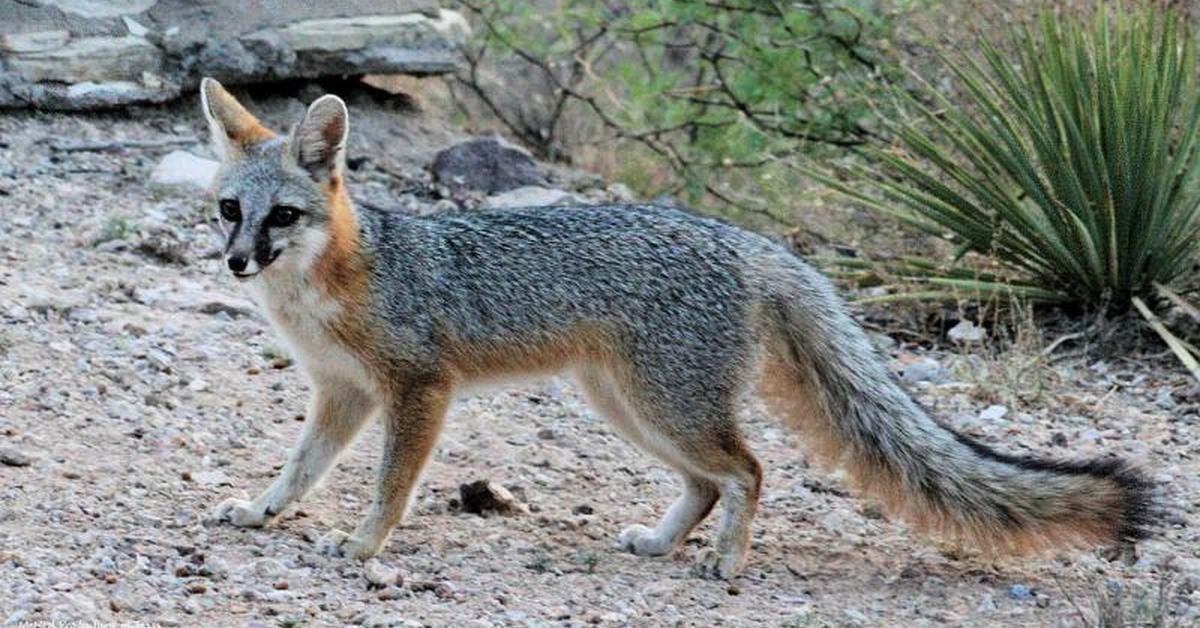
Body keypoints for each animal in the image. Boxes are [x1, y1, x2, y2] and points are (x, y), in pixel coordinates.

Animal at [199, 77, 1152, 581]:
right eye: (229, 211)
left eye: (282, 216)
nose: (238, 264)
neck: (330, 287)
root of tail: (754, 241)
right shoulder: (344, 395)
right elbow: (299, 469)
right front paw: (261, 511)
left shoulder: (418, 391)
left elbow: (388, 486)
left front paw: (364, 545)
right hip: (627, 405)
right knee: (708, 481)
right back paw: (662, 540)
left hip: (664, 405)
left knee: (749, 470)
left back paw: (727, 562)